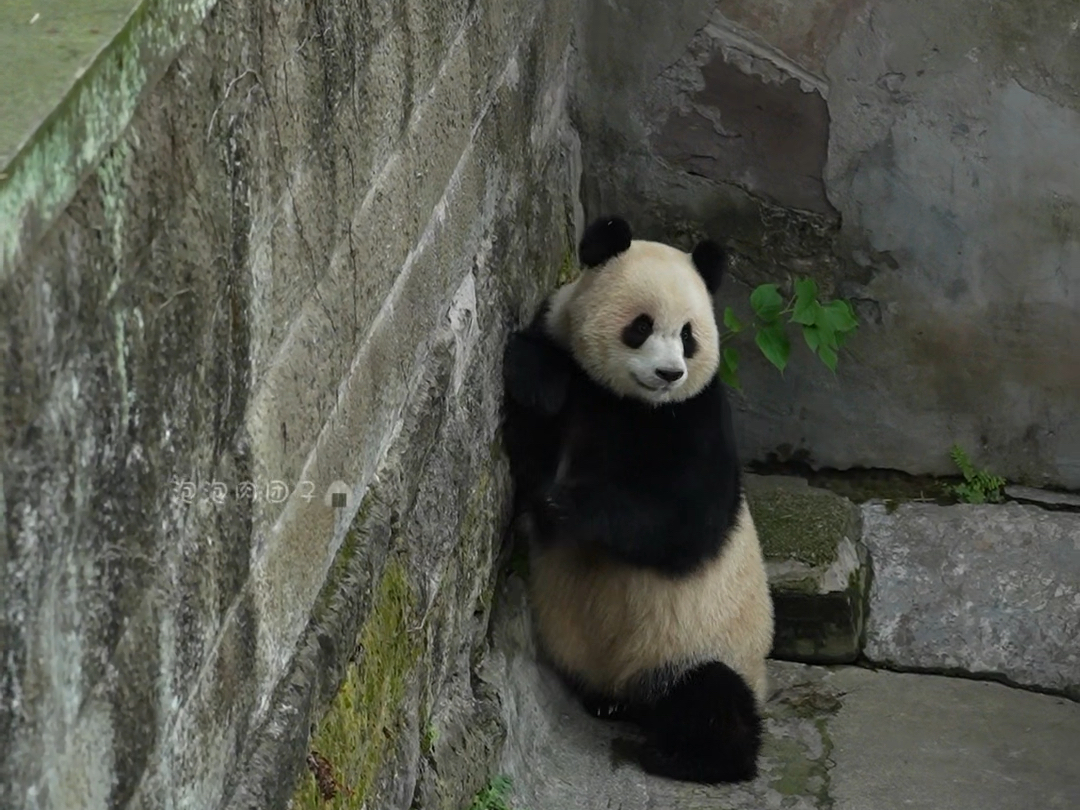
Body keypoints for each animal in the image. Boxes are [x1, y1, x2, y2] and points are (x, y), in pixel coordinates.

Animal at [501, 216, 773, 786]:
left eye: (689, 336)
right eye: (641, 326)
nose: (669, 374)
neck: (628, 402)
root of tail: (633, 692)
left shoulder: (695, 418)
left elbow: (685, 522)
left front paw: (567, 504)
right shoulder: (576, 379)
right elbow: (531, 431)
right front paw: (538, 379)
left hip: (703, 646)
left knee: (712, 697)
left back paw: (685, 755)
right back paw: (608, 706)